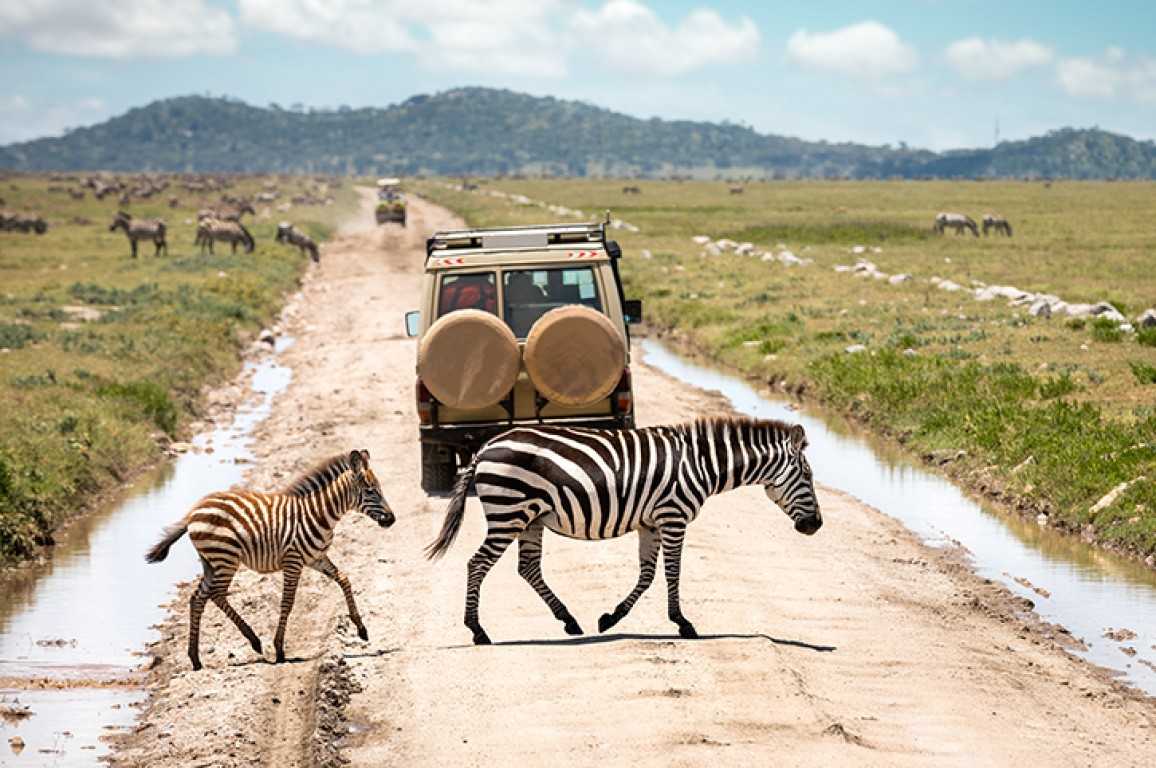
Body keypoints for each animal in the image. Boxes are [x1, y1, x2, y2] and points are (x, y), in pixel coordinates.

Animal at [143, 446, 397, 670]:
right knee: (216, 594)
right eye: (371, 491)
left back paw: (196, 659)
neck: (320, 514)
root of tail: (194, 511)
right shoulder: (293, 561)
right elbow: (287, 602)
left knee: (198, 598)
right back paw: (253, 641)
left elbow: (344, 579)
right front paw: (280, 649)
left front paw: (361, 628)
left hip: (211, 563)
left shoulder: (317, 558)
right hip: (226, 558)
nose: (391, 519)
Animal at [427, 416, 823, 643]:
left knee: (527, 568)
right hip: (509, 512)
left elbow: (647, 574)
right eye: (807, 475)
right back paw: (478, 631)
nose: (816, 525)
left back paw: (570, 621)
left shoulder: (651, 523)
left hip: (529, 518)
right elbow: (673, 572)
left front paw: (610, 618)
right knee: (477, 564)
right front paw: (684, 624)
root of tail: (485, 448)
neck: (700, 464)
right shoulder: (673, 516)